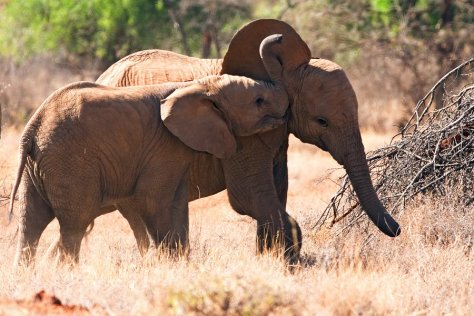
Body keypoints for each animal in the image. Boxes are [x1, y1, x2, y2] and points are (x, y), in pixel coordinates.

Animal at [9, 34, 290, 266]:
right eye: (259, 101)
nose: (279, 37)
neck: (201, 85)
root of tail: (32, 126)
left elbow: (176, 206)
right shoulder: (164, 147)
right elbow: (153, 202)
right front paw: (168, 265)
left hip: (41, 164)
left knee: (30, 222)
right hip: (70, 161)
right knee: (75, 223)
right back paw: (67, 271)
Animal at [94, 18, 402, 262]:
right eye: (322, 121)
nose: (398, 229)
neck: (280, 70)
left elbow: (278, 187)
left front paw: (268, 257)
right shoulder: (244, 131)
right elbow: (249, 196)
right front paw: (286, 262)